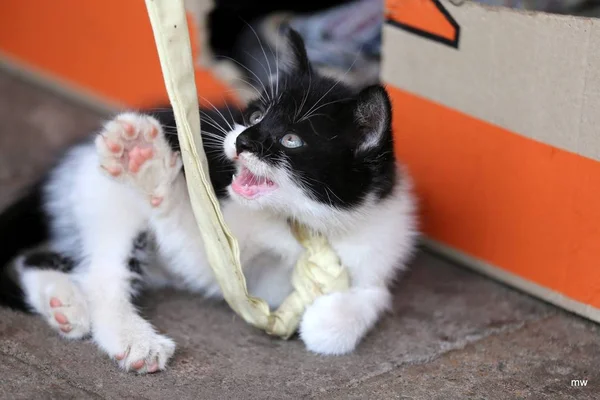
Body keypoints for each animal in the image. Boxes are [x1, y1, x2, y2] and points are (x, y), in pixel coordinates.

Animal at [0, 29, 418, 374]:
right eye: (256, 114)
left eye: (291, 140)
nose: (242, 140)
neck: (301, 224)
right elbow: (197, 255)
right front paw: (151, 170)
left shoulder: (379, 238)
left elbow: (375, 292)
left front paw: (327, 320)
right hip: (105, 194)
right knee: (102, 274)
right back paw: (131, 338)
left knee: (41, 259)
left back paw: (64, 306)